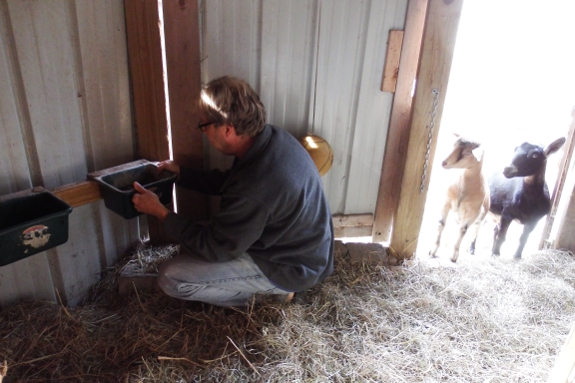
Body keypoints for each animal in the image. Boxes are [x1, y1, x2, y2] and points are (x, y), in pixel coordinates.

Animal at [432, 134, 490, 262]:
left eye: (468, 153)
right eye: (454, 145)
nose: (444, 162)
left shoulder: (472, 212)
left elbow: (463, 230)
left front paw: (454, 255)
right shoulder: (446, 202)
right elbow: (441, 224)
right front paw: (433, 251)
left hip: (478, 222)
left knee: (470, 236)